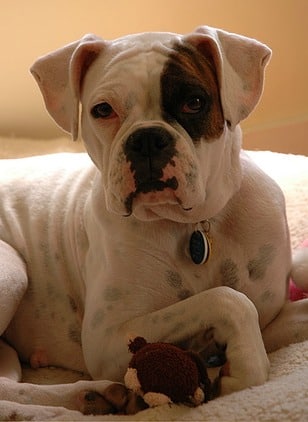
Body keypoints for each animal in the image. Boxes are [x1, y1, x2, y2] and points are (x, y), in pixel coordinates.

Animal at [0, 25, 308, 416]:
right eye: (103, 110)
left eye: (194, 102)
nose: (147, 139)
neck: (194, 228)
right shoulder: (107, 339)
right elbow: (228, 300)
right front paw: (241, 369)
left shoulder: (273, 316)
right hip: (11, 268)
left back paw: (90, 397)